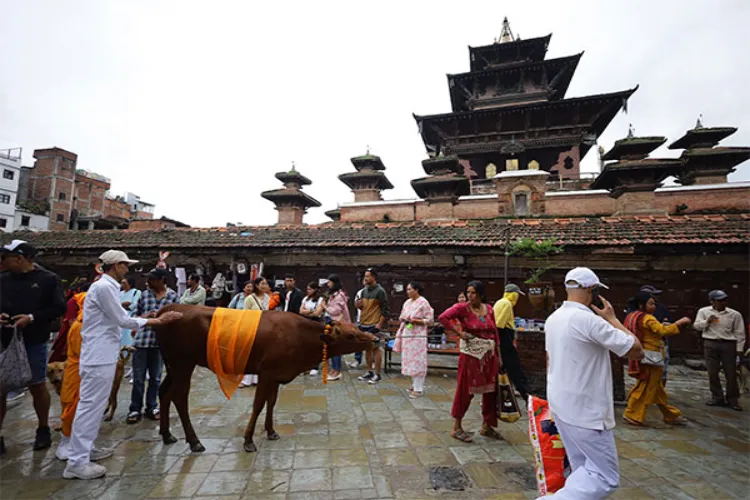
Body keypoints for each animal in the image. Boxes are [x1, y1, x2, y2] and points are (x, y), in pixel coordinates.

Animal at [154, 304, 376, 454]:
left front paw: (270, 431)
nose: (375, 339)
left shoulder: (276, 374)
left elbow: (271, 402)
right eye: (350, 335)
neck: (301, 339)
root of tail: (169, 308)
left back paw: (167, 435)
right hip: (183, 363)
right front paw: (248, 440)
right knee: (180, 397)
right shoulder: (267, 372)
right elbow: (258, 404)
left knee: (164, 392)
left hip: (172, 365)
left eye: (356, 329)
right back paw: (194, 441)